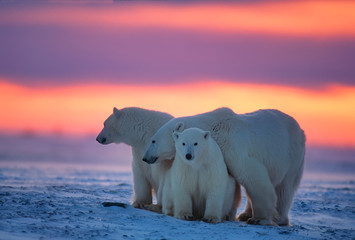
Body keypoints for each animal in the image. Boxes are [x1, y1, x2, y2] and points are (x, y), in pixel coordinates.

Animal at [143, 108, 308, 226]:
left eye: (153, 140)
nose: (145, 158)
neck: (215, 128)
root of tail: (301, 130)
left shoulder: (234, 147)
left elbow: (253, 176)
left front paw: (259, 219)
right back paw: (245, 214)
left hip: (291, 155)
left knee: (284, 187)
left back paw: (279, 218)